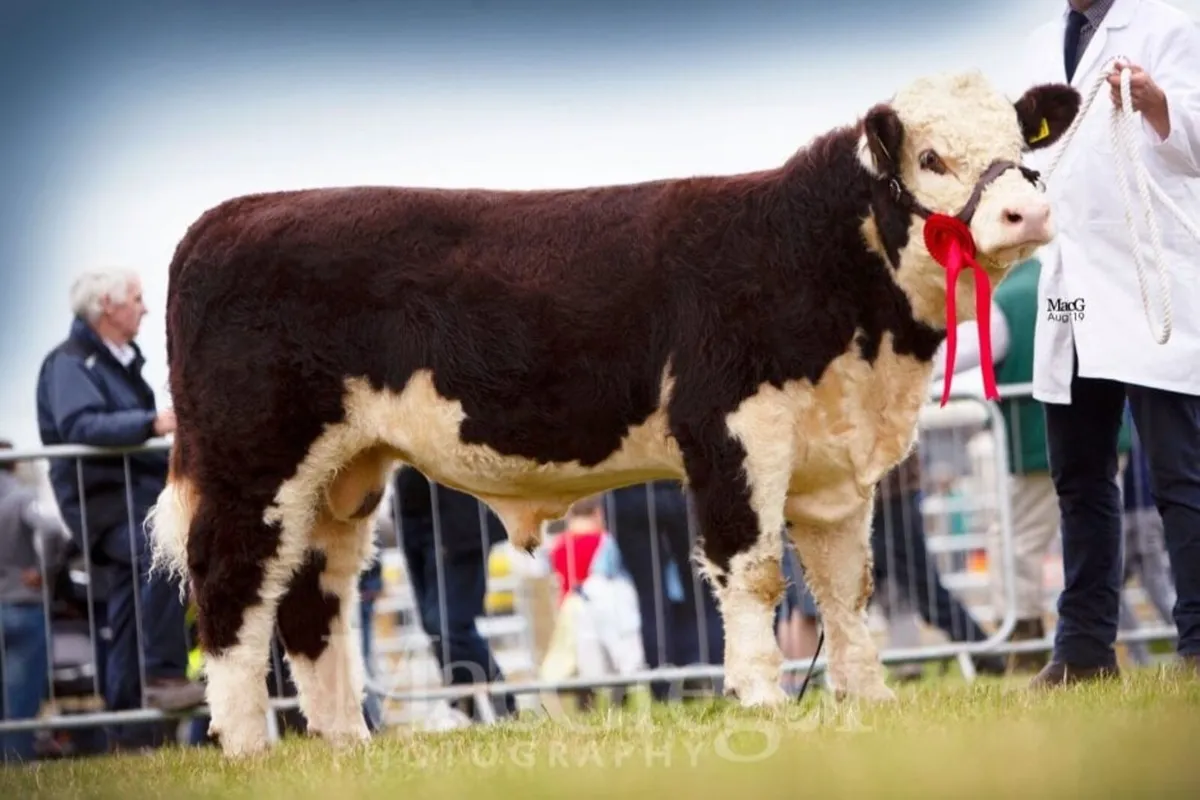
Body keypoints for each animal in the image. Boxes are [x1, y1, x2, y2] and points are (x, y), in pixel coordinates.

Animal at [146, 69, 1081, 758]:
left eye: (1017, 146)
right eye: (931, 156)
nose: (1028, 210)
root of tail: (228, 217)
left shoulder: (834, 465)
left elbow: (849, 587)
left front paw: (869, 699)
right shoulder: (731, 435)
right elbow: (757, 573)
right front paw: (760, 700)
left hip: (344, 473)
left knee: (315, 598)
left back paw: (347, 744)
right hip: (252, 459)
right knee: (232, 584)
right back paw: (248, 746)